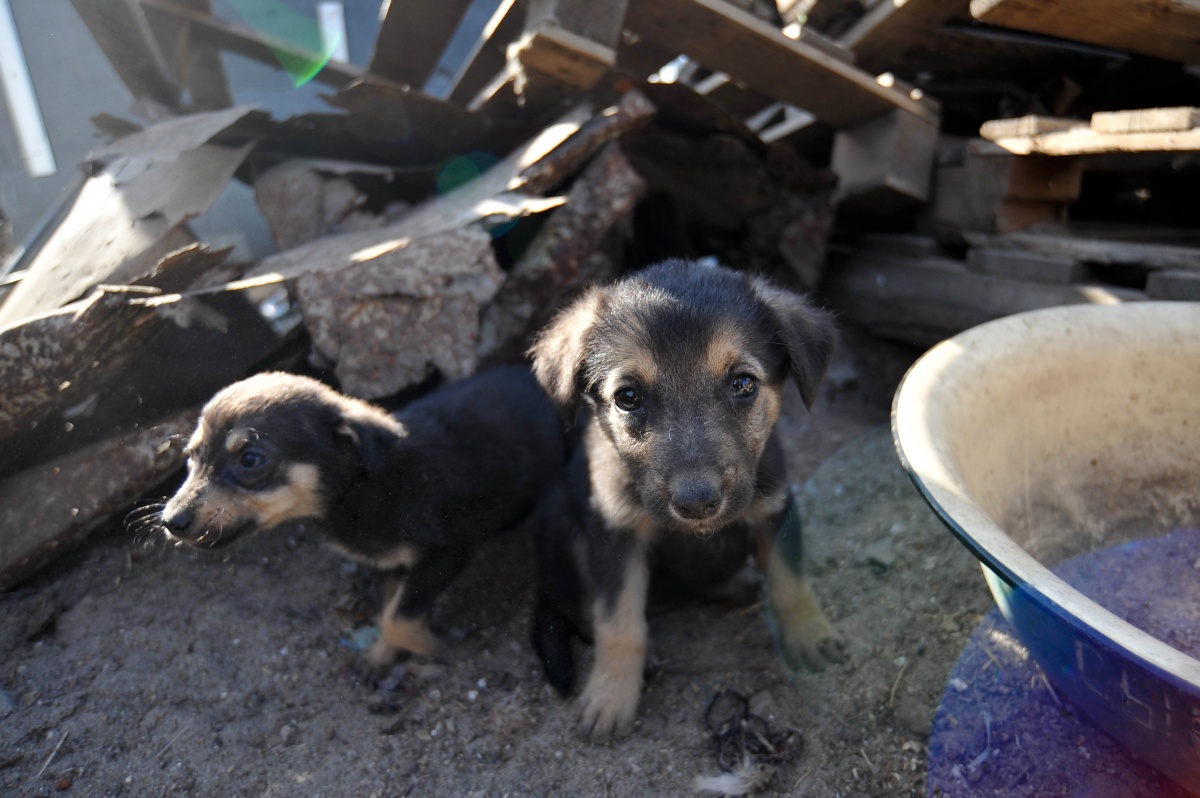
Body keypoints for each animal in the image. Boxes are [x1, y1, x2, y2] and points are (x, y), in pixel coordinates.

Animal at [157, 367, 564, 672]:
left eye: (251, 459)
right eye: (191, 457)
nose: (170, 521)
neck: (362, 490)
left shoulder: (447, 552)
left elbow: (398, 619)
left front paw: (433, 647)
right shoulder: (389, 563)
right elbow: (389, 609)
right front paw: (381, 656)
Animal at [525, 261, 844, 739]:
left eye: (743, 384)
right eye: (628, 397)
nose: (697, 503)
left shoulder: (773, 510)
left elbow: (790, 580)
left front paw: (810, 634)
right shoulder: (615, 537)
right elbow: (618, 622)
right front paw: (611, 692)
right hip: (564, 528)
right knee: (577, 609)